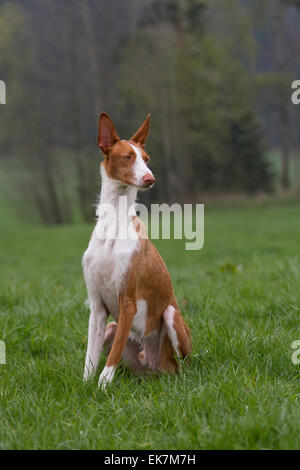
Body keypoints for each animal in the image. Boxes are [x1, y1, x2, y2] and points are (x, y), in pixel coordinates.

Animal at [82, 113, 191, 390]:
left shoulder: (128, 302)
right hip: (112, 327)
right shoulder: (97, 307)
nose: (150, 179)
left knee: (183, 365)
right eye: (127, 157)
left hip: (171, 317)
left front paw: (103, 385)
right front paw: (86, 386)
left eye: (147, 158)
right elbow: (90, 358)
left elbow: (113, 354)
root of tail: (154, 367)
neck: (112, 226)